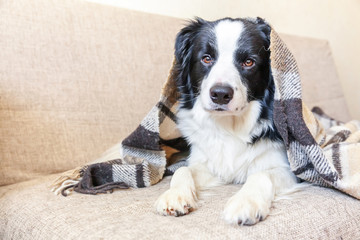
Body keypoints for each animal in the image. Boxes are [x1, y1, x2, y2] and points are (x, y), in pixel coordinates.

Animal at [155, 17, 298, 226]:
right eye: (206, 58)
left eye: (248, 62)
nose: (220, 94)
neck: (230, 125)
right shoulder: (208, 162)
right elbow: (183, 170)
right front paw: (175, 195)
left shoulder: (287, 168)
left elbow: (262, 174)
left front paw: (245, 202)